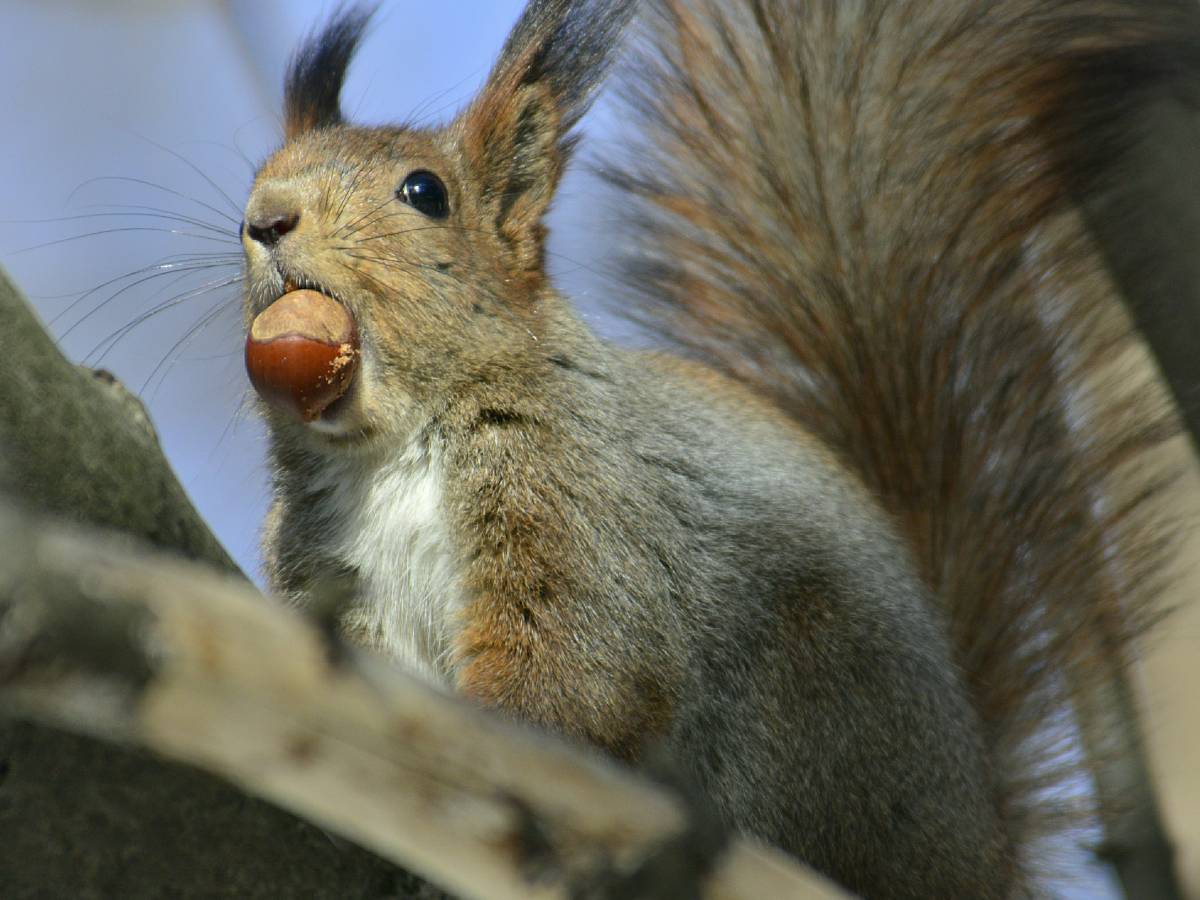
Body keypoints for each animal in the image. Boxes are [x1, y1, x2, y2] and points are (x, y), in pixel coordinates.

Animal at [236, 0, 1190, 897]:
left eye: (424, 192)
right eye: (262, 172)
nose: (265, 218)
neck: (387, 450)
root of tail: (982, 852)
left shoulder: (580, 507)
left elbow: (577, 671)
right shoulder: (331, 576)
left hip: (805, 696)